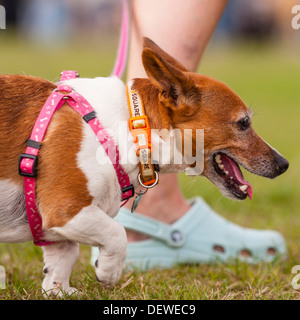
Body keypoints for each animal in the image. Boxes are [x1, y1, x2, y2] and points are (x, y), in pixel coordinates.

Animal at [0, 37, 288, 296]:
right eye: (243, 123)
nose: (283, 164)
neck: (133, 128)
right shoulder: (66, 210)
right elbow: (117, 233)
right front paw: (108, 271)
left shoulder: (56, 228)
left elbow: (63, 259)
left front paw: (59, 290)